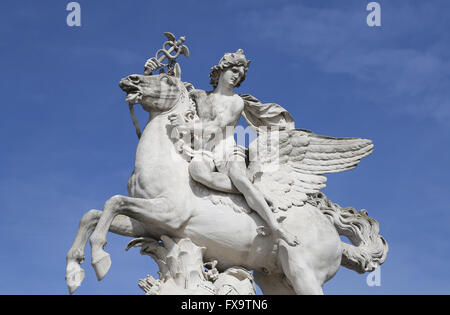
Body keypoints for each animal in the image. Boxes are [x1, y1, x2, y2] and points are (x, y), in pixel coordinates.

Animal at [64, 66, 386, 296]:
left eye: (167, 78)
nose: (130, 80)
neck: (165, 162)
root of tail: (334, 236)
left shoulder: (169, 213)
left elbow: (114, 201)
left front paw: (100, 260)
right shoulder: (149, 223)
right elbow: (94, 213)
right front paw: (74, 272)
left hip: (304, 273)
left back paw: (277, 223)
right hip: (276, 279)